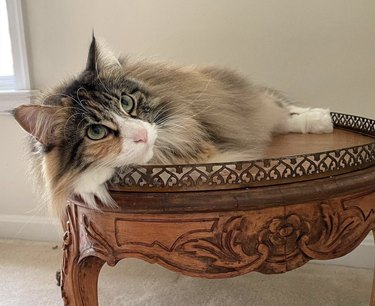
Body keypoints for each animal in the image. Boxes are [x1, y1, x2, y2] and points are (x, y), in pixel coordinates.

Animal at [13, 37, 334, 216]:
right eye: (96, 132)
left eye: (127, 103)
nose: (142, 135)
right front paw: (91, 183)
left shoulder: (199, 148)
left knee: (281, 110)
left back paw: (321, 119)